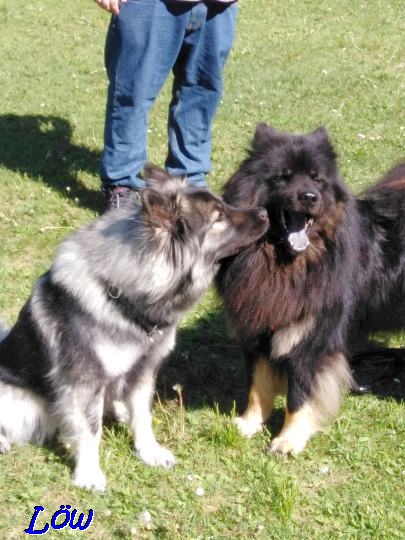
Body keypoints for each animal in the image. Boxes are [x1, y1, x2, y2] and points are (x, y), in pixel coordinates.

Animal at [216, 124, 402, 454]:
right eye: (283, 177)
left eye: (316, 179)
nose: (309, 196)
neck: (283, 265)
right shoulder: (260, 329)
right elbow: (258, 386)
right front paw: (249, 424)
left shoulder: (311, 339)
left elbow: (299, 396)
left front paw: (288, 439)